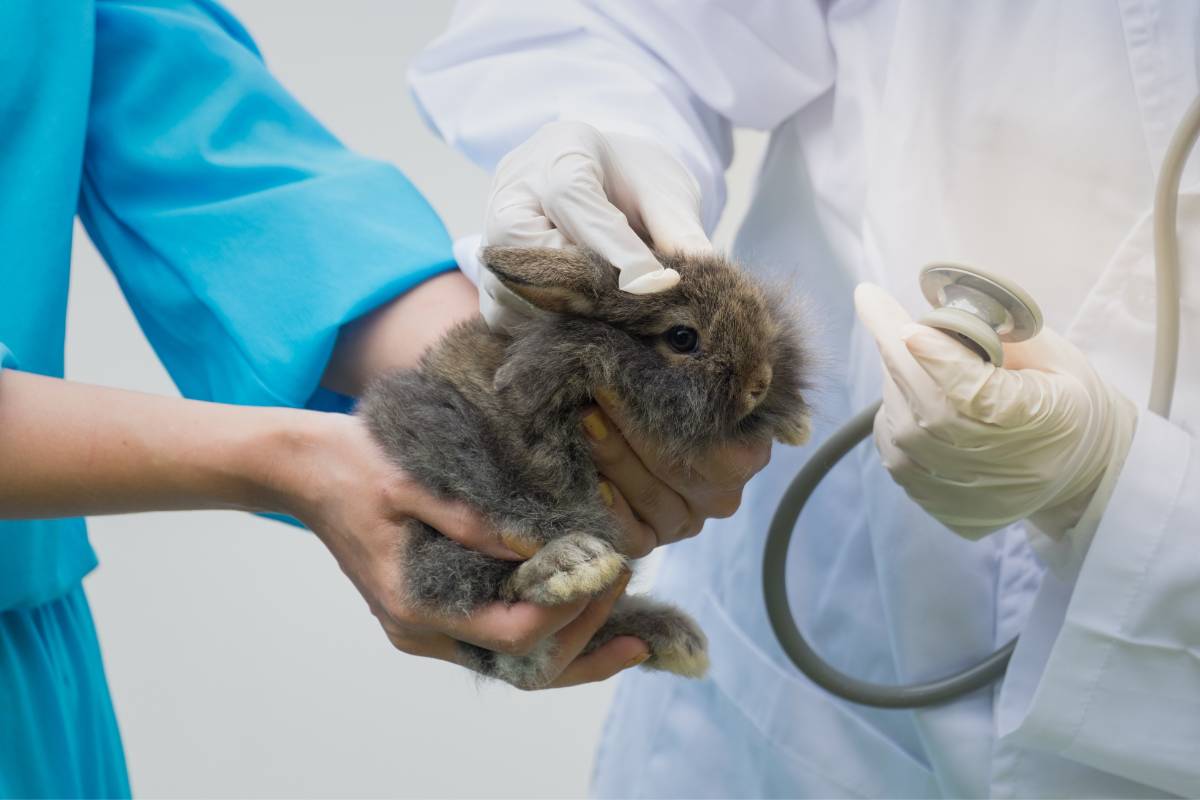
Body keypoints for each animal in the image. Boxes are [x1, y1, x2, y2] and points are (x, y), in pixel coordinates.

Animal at [359, 246, 812, 690]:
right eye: (682, 337)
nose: (759, 382)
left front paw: (796, 423)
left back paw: (676, 640)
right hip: (450, 515)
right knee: (456, 584)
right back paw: (573, 566)